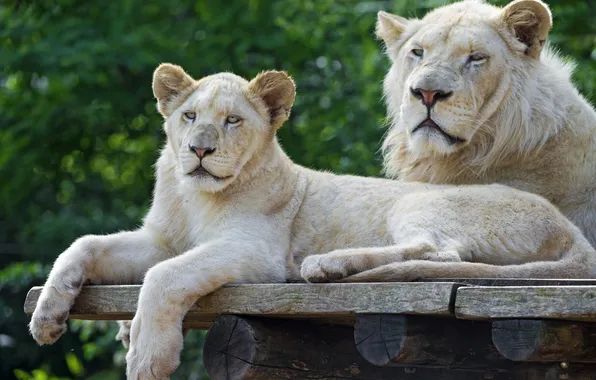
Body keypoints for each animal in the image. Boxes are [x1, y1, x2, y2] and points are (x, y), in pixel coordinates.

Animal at [29, 63, 596, 378]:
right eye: (189, 116)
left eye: (232, 121)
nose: (199, 150)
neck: (195, 196)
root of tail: (569, 229)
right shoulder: (160, 239)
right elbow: (85, 245)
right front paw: (47, 316)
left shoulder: (255, 253)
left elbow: (163, 277)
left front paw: (148, 356)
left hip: (417, 203)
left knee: (437, 252)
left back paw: (329, 265)